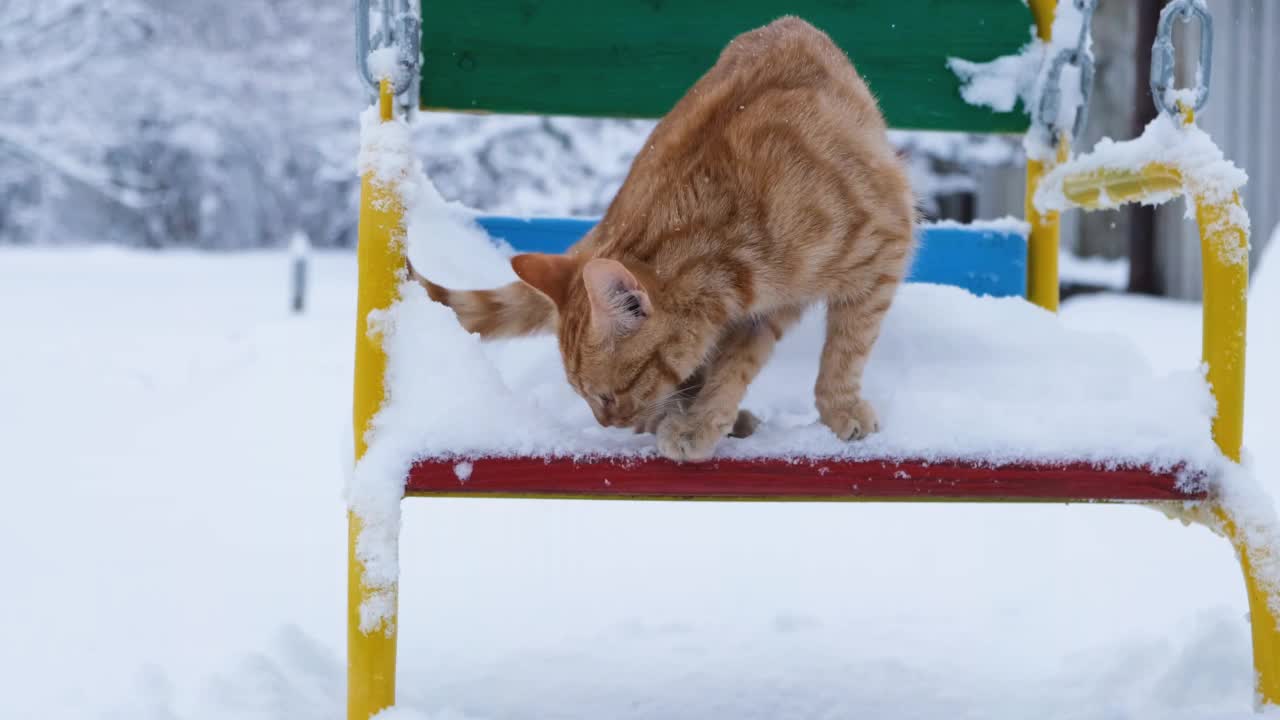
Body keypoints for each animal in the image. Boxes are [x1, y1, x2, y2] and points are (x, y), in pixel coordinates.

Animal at [414, 16, 916, 458]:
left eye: (609, 394)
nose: (609, 425)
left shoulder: (884, 247)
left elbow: (845, 349)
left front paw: (840, 409)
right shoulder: (755, 316)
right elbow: (730, 369)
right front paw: (701, 423)